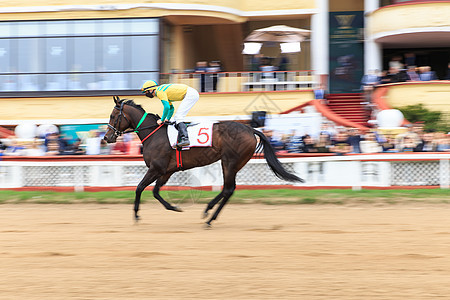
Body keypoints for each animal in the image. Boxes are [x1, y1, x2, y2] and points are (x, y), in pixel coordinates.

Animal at [103, 96, 304, 225]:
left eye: (113, 116)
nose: (106, 137)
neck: (153, 134)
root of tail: (250, 129)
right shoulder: (166, 171)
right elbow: (155, 192)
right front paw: (174, 207)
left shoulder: (156, 168)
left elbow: (139, 188)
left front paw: (136, 215)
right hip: (233, 163)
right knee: (228, 189)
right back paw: (209, 212)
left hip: (229, 162)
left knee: (228, 189)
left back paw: (209, 217)